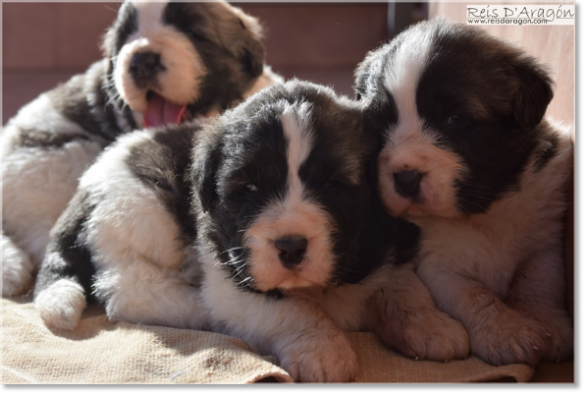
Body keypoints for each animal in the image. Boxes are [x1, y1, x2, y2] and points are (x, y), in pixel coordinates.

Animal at [33, 81, 420, 384]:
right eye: (249, 189)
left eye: (334, 185)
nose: (291, 246)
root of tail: (86, 186)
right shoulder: (230, 270)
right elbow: (293, 309)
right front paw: (324, 350)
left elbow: (399, 289)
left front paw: (426, 327)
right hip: (142, 212)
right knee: (124, 290)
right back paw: (197, 307)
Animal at [354, 17, 572, 366]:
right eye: (381, 123)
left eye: (455, 119)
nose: (405, 177)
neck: (482, 212)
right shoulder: (437, 265)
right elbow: (472, 294)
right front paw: (506, 331)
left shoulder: (545, 241)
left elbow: (539, 282)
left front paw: (546, 323)